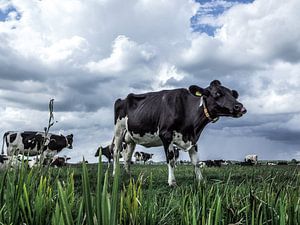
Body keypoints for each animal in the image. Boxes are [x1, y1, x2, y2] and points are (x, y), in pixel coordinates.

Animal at [111, 80, 245, 185]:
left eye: (233, 94)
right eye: (217, 93)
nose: (241, 107)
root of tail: (123, 98)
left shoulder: (193, 138)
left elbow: (196, 162)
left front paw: (201, 180)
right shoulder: (166, 135)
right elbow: (171, 159)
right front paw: (172, 182)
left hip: (131, 138)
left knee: (127, 156)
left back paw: (127, 175)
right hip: (119, 131)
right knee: (116, 153)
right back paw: (114, 174)